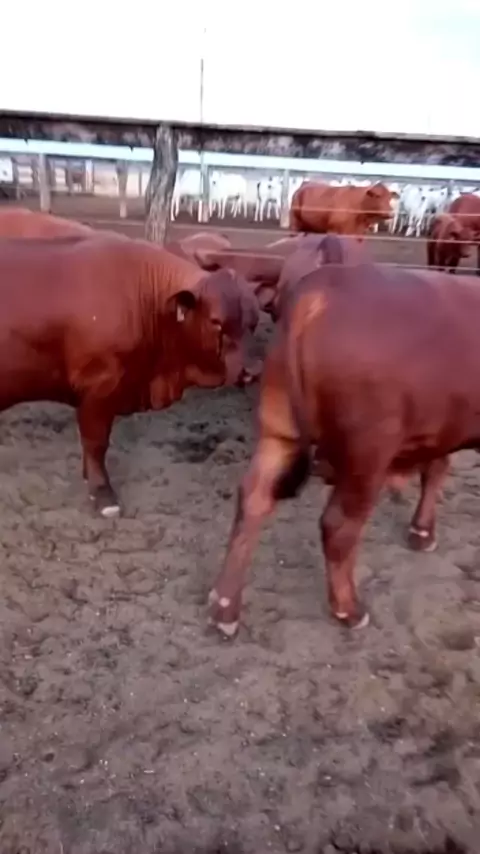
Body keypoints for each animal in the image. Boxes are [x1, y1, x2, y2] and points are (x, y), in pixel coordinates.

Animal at [0, 234, 260, 517]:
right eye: (216, 322)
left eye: (254, 322)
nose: (250, 371)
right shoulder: (98, 387)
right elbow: (96, 443)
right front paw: (103, 493)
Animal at [208, 251, 480, 636]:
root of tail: (324, 287)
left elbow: (436, 468)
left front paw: (422, 530)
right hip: (366, 453)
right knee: (337, 526)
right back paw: (348, 609)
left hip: (279, 431)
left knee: (253, 500)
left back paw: (224, 608)